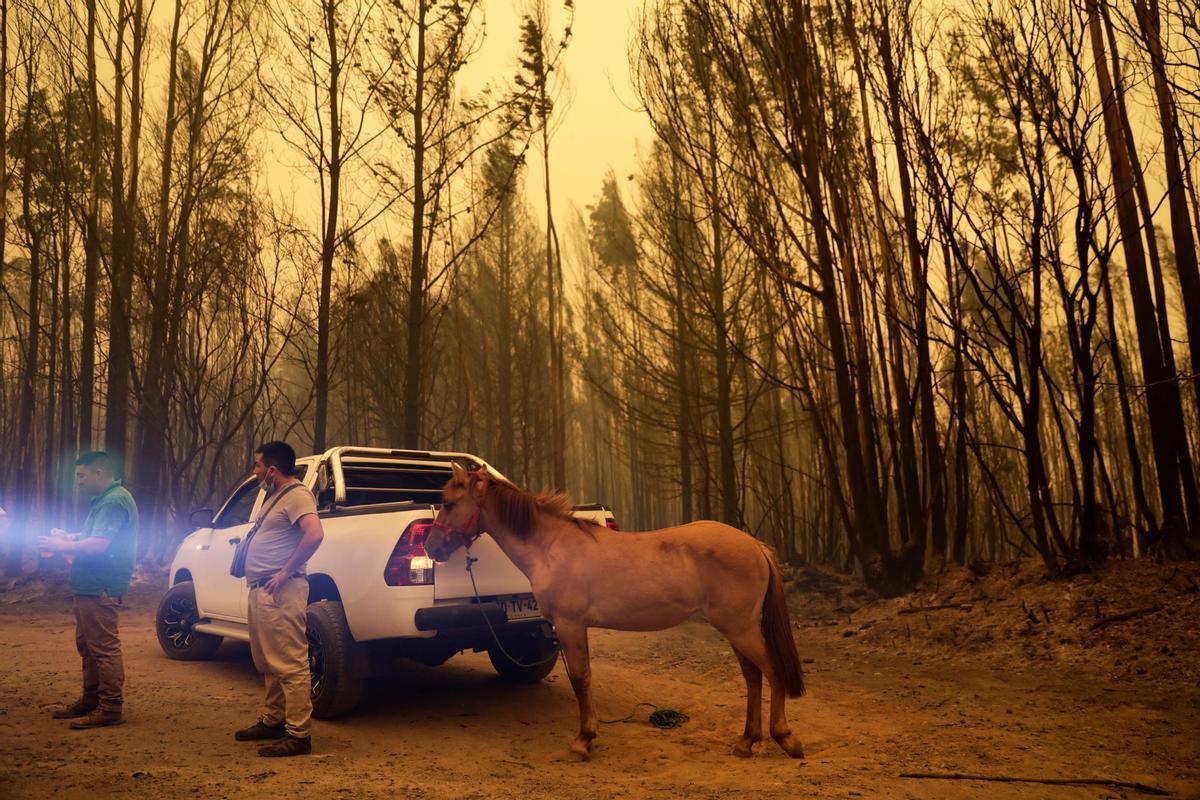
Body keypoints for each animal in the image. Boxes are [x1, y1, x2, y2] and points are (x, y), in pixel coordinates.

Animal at [424, 460, 806, 762]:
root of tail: (753, 544)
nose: (431, 546)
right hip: (736, 629)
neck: (551, 546)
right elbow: (585, 678)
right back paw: (746, 741)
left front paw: (582, 741)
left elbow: (580, 679)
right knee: (753, 676)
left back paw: (785, 738)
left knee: (771, 670)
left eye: (449, 503)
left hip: (741, 628)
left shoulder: (570, 624)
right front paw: (589, 735)